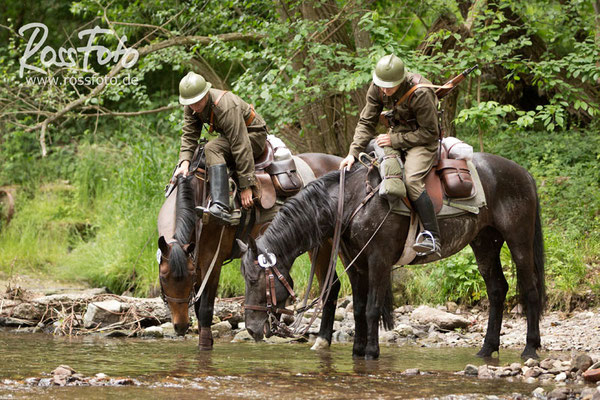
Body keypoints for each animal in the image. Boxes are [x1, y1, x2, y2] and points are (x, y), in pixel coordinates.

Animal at [157, 152, 340, 348]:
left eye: (188, 277)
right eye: (163, 278)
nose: (181, 325)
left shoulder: (212, 261)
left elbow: (205, 311)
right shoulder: (197, 261)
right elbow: (199, 311)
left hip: (324, 244)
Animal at [241, 153, 548, 360]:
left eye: (255, 280)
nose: (253, 329)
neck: (351, 201)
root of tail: (523, 174)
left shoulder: (378, 259)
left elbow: (372, 307)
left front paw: (371, 352)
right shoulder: (355, 264)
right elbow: (358, 308)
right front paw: (357, 350)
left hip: (519, 242)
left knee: (530, 289)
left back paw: (530, 348)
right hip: (484, 243)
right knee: (497, 290)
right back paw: (487, 349)